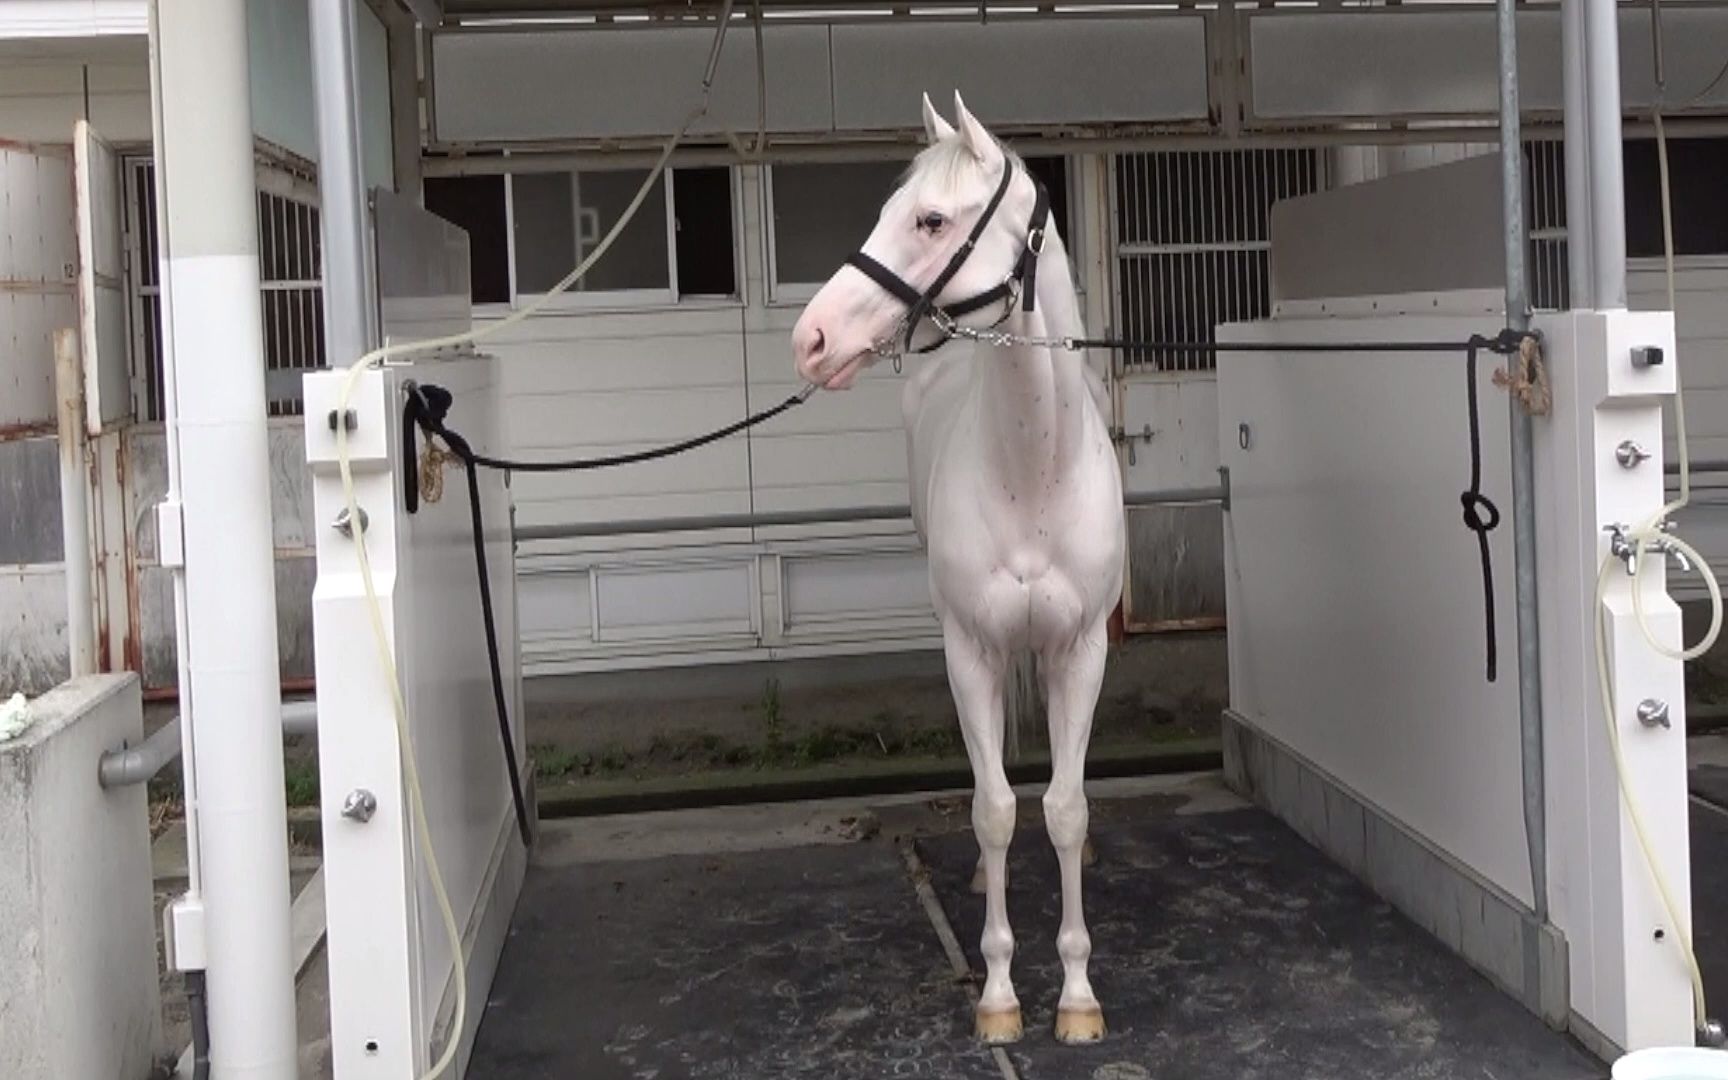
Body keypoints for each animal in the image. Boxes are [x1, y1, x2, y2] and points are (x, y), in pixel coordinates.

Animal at [791, 94, 1126, 1043]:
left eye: (931, 220)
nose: (810, 338)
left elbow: (1064, 808)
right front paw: (1001, 993)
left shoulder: (1082, 652)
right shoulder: (970, 651)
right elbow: (994, 808)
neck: (1034, 468)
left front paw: (1078, 997)